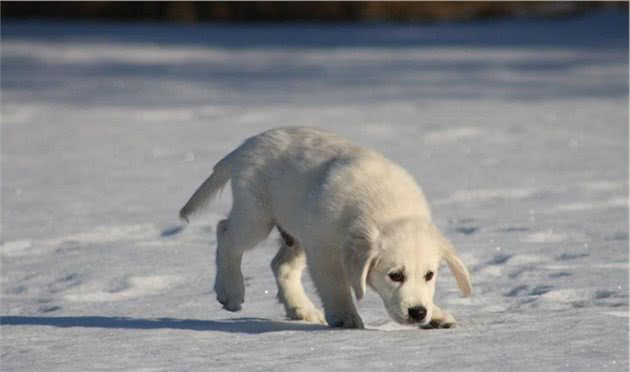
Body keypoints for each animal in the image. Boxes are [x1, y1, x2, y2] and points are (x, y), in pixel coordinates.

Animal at [180, 127, 472, 328]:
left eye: (429, 275)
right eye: (395, 275)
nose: (418, 312)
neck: (385, 209)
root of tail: (248, 145)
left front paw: (436, 315)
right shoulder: (324, 250)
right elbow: (335, 284)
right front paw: (345, 317)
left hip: (297, 232)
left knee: (281, 265)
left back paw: (301, 309)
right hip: (256, 216)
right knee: (225, 233)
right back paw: (230, 291)